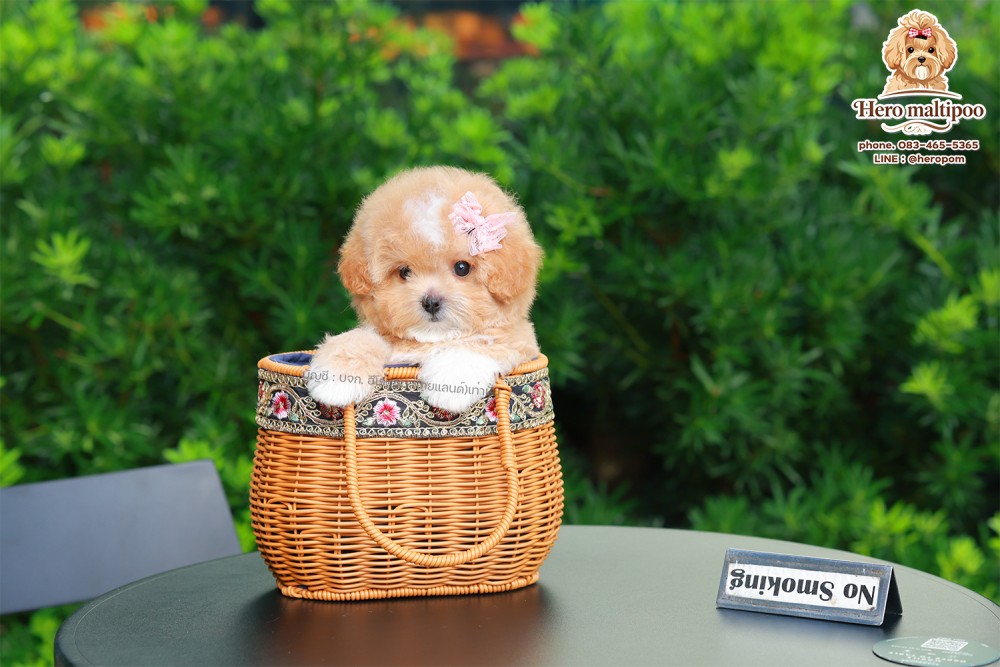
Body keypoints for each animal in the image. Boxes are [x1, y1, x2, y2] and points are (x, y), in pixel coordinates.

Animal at [307, 166, 543, 414]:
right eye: (404, 272)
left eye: (462, 268)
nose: (431, 302)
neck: (432, 338)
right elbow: (358, 339)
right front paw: (336, 378)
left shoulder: (518, 338)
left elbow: (475, 344)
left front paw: (451, 387)